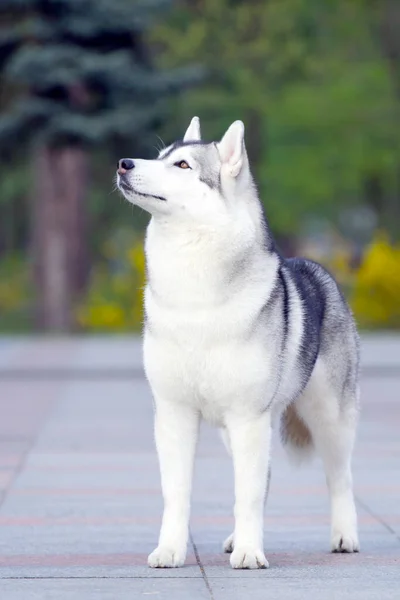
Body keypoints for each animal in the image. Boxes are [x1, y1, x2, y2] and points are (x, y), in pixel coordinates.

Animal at [115, 118, 360, 572]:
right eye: (159, 156)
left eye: (183, 165)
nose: (124, 163)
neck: (194, 299)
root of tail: (313, 266)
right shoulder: (174, 414)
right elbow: (177, 493)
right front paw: (170, 550)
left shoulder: (248, 415)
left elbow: (246, 493)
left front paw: (250, 552)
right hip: (238, 431)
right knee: (266, 475)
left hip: (328, 419)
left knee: (340, 478)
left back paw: (344, 536)